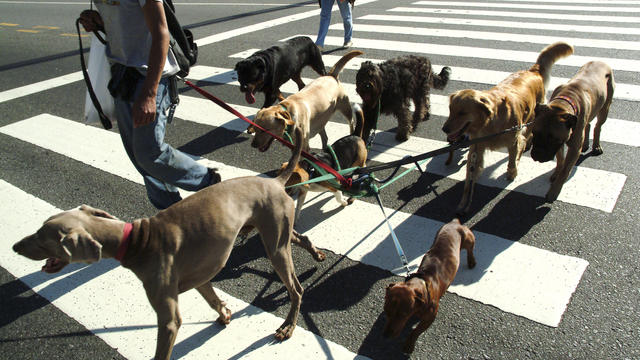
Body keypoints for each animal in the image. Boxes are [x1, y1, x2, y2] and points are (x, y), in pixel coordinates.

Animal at [13, 127, 328, 360]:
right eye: (40, 230)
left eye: (43, 237)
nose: (15, 247)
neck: (136, 240)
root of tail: (276, 180)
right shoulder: (201, 278)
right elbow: (213, 299)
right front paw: (224, 313)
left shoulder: (168, 318)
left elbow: (164, 343)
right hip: (274, 232)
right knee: (299, 238)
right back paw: (316, 254)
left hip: (274, 246)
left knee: (297, 289)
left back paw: (287, 326)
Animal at [380, 218, 476, 352]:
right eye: (386, 310)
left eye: (403, 314)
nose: (385, 336)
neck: (421, 281)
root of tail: (455, 222)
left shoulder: (430, 317)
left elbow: (416, 331)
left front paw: (408, 345)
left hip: (468, 239)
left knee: (470, 248)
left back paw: (471, 261)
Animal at [440, 41, 576, 214]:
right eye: (450, 110)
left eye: (462, 113)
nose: (444, 129)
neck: (489, 123)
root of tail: (533, 70)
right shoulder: (476, 148)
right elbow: (468, 180)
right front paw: (464, 203)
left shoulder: (512, 140)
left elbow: (512, 160)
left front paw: (512, 172)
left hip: (534, 116)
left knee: (526, 137)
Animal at [528, 60, 616, 201]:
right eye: (535, 133)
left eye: (553, 139)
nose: (537, 155)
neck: (561, 106)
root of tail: (601, 61)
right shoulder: (561, 142)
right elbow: (560, 160)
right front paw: (556, 172)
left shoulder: (572, 148)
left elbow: (565, 170)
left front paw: (554, 191)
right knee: (588, 124)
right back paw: (585, 144)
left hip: (605, 107)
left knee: (598, 126)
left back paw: (596, 146)